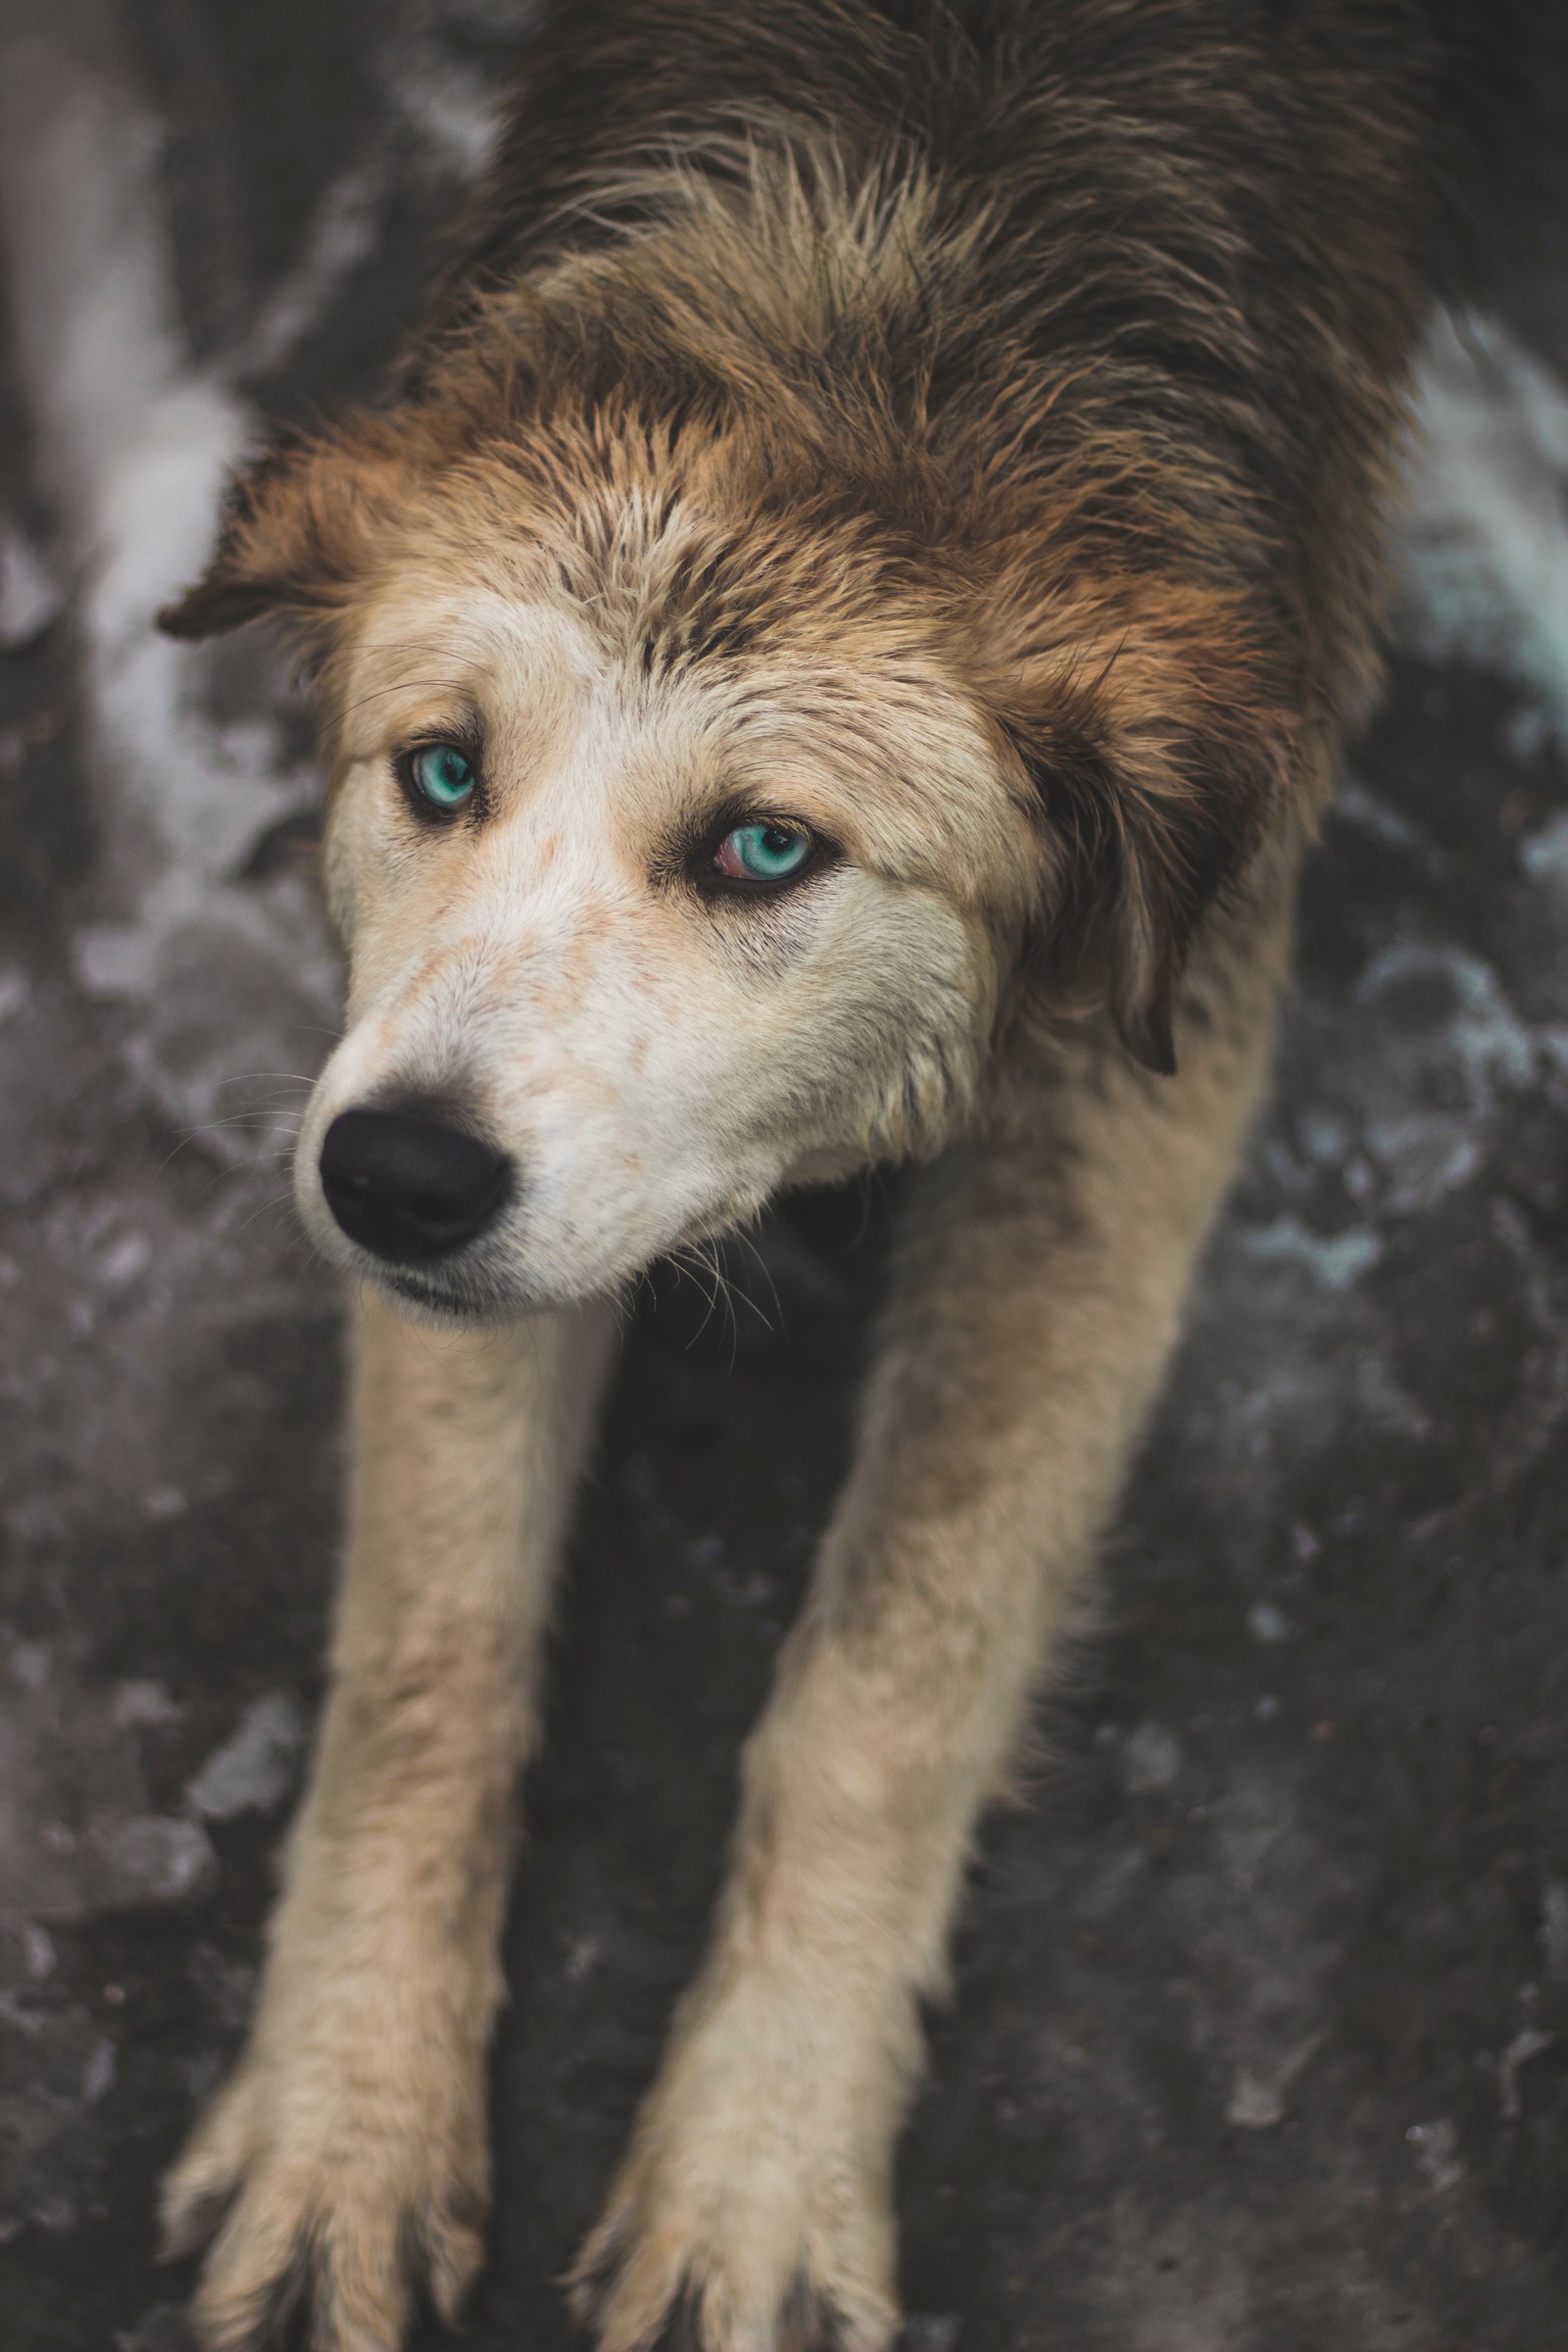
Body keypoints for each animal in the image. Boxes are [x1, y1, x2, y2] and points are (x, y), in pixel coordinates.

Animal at [150, 4, 1523, 2352]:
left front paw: (758, 2174)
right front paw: (343, 2118)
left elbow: (882, 1691)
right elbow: (429, 1650)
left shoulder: (1134, 1091)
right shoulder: (404, 1085)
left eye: (767, 847)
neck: (889, 262)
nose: (393, 1181)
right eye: (440, 771)